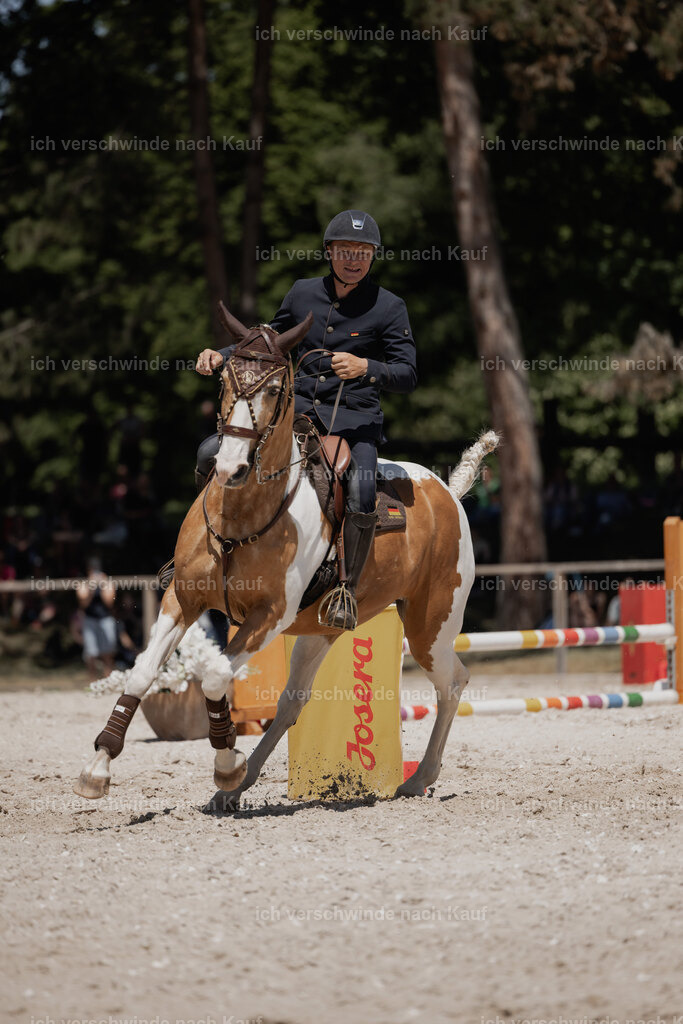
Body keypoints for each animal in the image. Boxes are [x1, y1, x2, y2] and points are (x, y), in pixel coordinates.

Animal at [74, 304, 499, 810]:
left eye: (275, 389)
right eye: (224, 381)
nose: (231, 468)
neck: (243, 516)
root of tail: (448, 493)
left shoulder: (270, 616)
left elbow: (214, 675)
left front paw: (226, 763)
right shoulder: (183, 600)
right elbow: (141, 674)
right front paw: (97, 769)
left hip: (430, 627)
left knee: (452, 683)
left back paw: (417, 780)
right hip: (320, 631)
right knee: (294, 700)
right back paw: (241, 784)